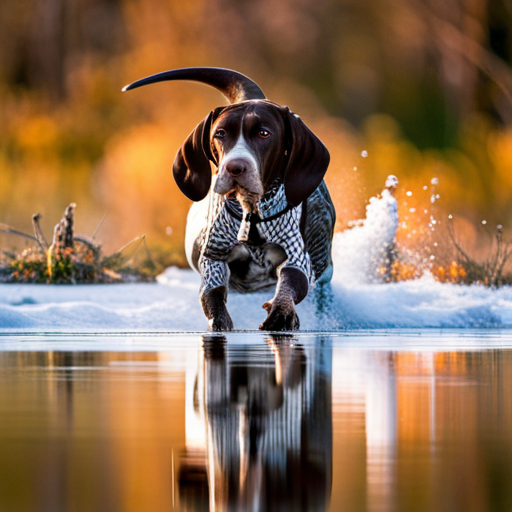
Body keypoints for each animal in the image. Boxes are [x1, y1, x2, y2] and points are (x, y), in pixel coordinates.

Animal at [123, 68, 336, 332]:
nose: (235, 167)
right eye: (220, 133)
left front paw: (282, 312)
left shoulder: (297, 255)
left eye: (264, 133)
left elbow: (289, 284)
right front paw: (219, 321)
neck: (252, 213)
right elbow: (211, 294)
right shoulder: (214, 255)